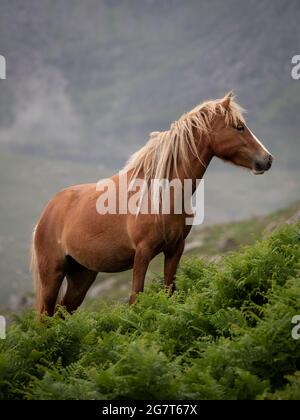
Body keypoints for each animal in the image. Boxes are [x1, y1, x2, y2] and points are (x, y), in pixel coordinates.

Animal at [29, 92, 272, 316]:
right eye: (239, 127)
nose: (267, 159)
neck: (161, 195)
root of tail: (46, 213)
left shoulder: (175, 249)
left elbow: (170, 292)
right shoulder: (142, 253)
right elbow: (135, 299)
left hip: (82, 275)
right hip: (52, 275)